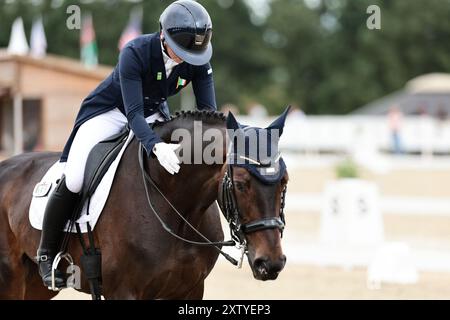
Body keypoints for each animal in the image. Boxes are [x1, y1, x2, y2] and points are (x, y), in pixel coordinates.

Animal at [0, 110, 288, 300]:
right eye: (240, 184)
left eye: (284, 182)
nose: (271, 263)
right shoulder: (123, 292)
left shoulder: (191, 289)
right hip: (11, 277)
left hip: (35, 285)